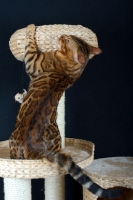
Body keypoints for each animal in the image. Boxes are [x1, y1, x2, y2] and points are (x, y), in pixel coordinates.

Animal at [9, 24, 121, 198]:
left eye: (67, 40)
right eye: (71, 37)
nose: (62, 35)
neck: (71, 70)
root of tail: (41, 151)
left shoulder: (33, 63)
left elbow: (30, 45)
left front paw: (31, 28)